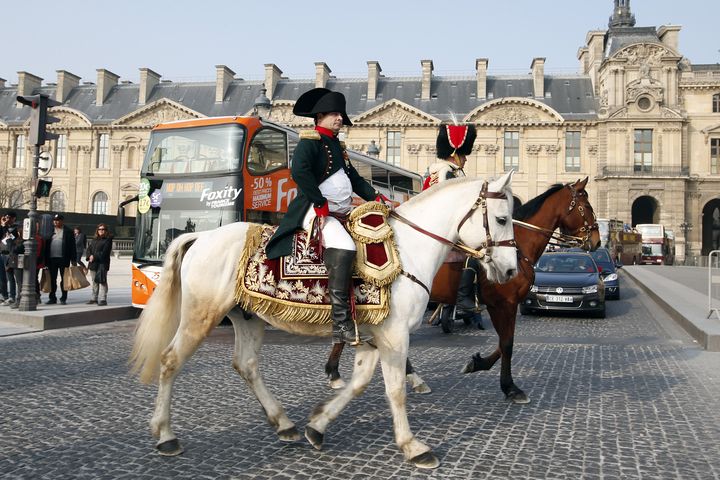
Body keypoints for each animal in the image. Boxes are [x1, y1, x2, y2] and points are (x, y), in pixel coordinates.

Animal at [128, 171, 512, 466]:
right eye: (503, 218)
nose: (510, 270)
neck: (408, 252)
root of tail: (202, 236)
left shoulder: (371, 337)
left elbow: (359, 384)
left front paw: (318, 425)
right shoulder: (394, 336)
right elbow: (395, 390)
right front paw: (412, 446)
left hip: (248, 317)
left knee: (246, 364)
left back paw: (284, 423)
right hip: (201, 314)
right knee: (170, 360)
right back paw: (165, 434)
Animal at [324, 177, 600, 402]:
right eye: (587, 206)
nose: (596, 242)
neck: (517, 247)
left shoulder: (504, 306)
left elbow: (504, 342)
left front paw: (477, 363)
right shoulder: (503, 304)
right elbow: (507, 343)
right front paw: (509, 386)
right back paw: (337, 371)